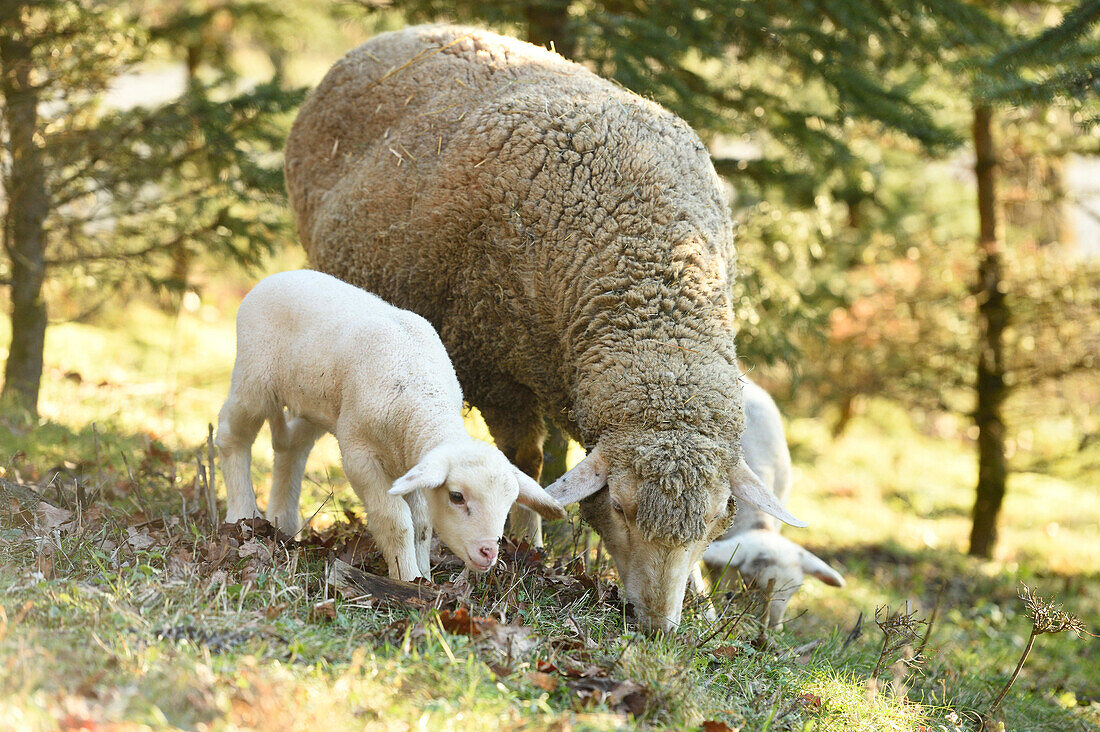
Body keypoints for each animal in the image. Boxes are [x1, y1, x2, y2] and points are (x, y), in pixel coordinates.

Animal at [212, 265, 567, 581]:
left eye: (508, 504)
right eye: (457, 497)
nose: (488, 553)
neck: (421, 398)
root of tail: (277, 276)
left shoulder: (414, 463)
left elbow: (422, 525)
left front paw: (424, 576)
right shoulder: (360, 456)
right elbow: (396, 521)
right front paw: (406, 577)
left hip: (314, 402)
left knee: (292, 447)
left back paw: (283, 524)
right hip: (253, 376)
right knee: (232, 434)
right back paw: (241, 515)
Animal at [281, 22, 800, 629]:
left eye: (718, 517)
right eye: (618, 505)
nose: (654, 627)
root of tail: (394, 35)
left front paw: (700, 601)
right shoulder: (492, 365)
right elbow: (522, 462)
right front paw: (527, 551)